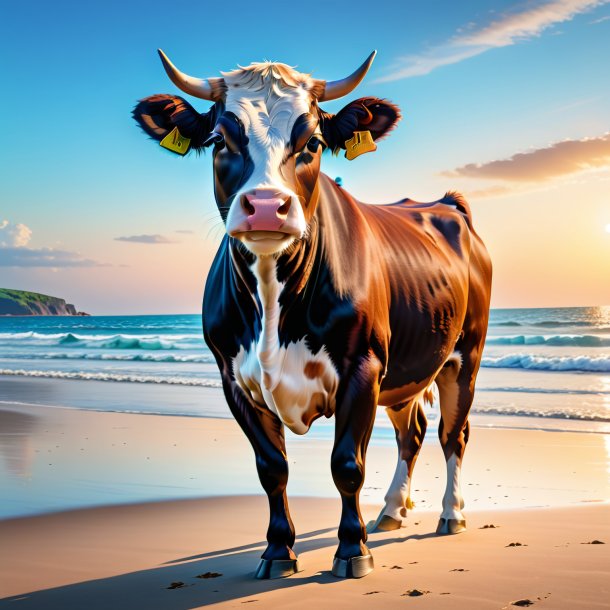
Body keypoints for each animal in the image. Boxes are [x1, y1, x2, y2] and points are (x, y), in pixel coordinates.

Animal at [132, 50, 490, 576]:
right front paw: (278, 551)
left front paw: (352, 550)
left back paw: (452, 513)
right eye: (219, 140)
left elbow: (347, 464)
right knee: (414, 433)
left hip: (465, 355)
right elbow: (271, 468)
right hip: (408, 370)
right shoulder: (233, 378)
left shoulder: (364, 367)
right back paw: (391, 510)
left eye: (314, 142)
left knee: (453, 434)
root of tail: (446, 203)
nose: (265, 207)